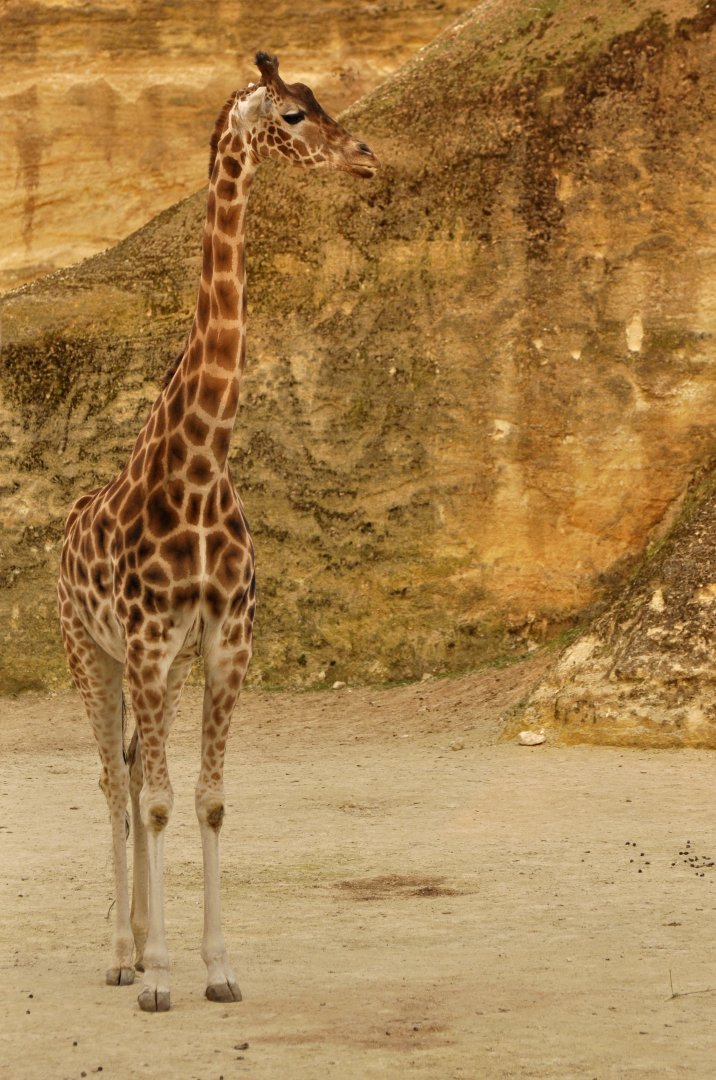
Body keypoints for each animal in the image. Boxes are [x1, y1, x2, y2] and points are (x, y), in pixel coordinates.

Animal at [57, 52, 379, 1013]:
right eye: (294, 113)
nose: (366, 158)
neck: (200, 471)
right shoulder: (148, 642)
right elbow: (162, 800)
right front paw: (162, 975)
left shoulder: (225, 641)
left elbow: (206, 798)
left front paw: (217, 968)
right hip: (89, 653)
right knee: (112, 781)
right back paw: (119, 956)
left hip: (143, 666)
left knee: (133, 772)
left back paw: (132, 945)